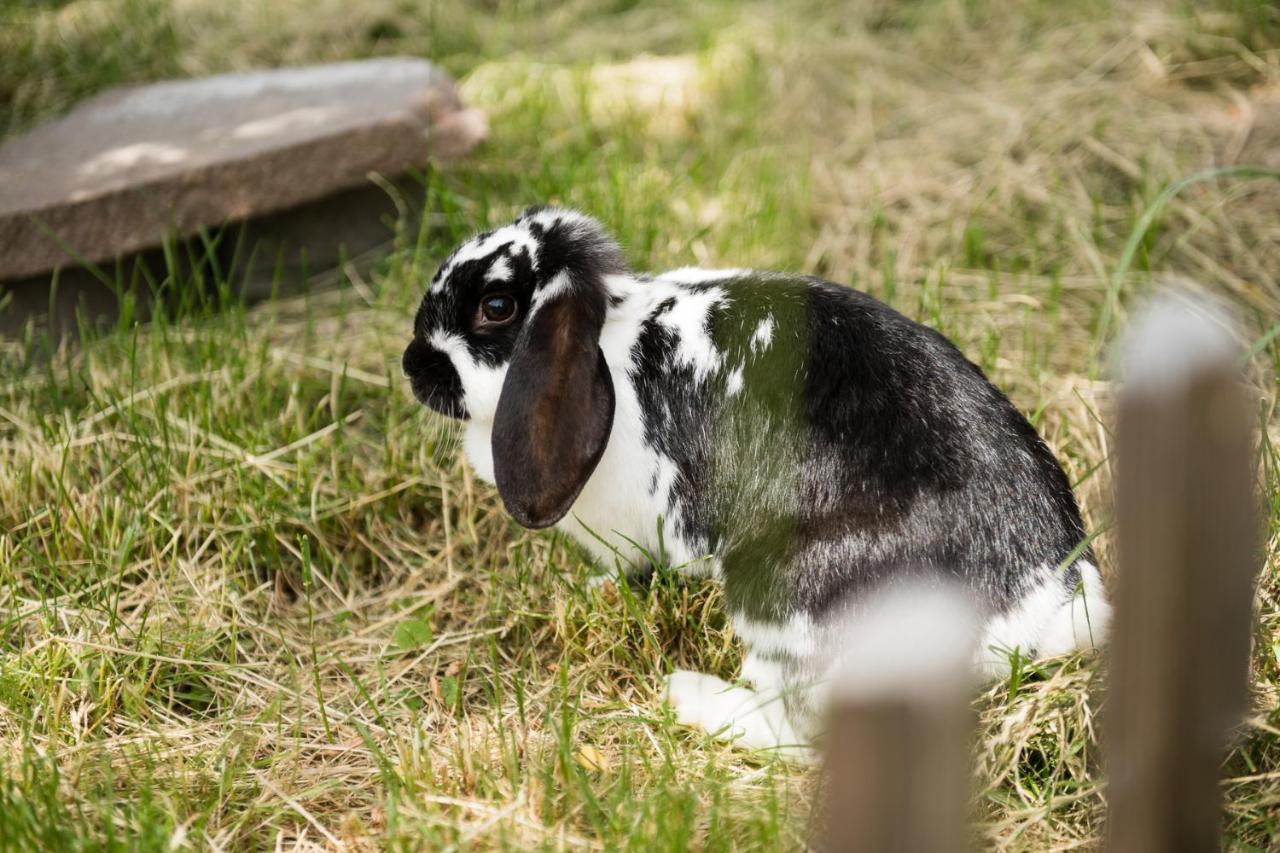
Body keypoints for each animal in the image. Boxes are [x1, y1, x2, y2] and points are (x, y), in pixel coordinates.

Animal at [401, 206, 1111, 753]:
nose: (412, 365)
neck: (610, 342)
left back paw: (693, 696)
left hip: (781, 591)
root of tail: (1043, 605)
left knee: (799, 733)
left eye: (496, 306)